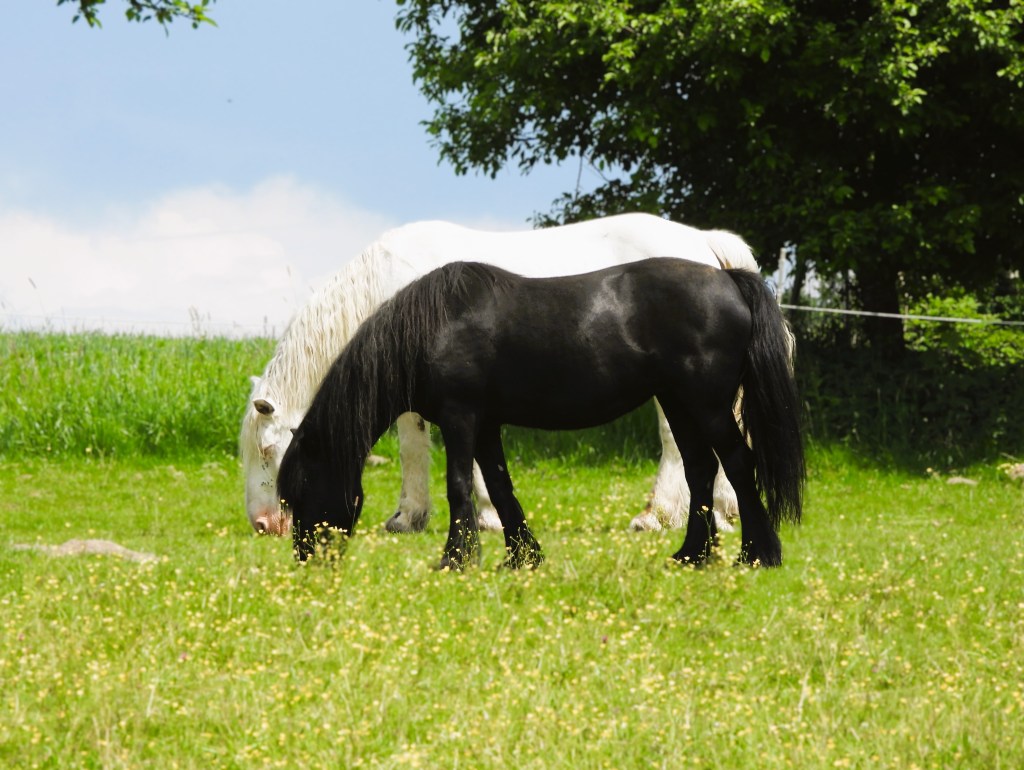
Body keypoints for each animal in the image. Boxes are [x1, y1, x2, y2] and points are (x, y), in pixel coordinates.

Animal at [243, 213, 771, 538]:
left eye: (269, 450)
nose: (263, 524)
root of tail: (703, 243)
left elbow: (414, 445)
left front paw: (411, 516)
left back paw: (656, 516)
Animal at [278, 258, 805, 570]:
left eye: (302, 487)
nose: (306, 557)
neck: (436, 325)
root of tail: (729, 279)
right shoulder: (486, 424)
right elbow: (499, 487)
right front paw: (521, 557)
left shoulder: (460, 417)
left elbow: (460, 485)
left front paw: (456, 559)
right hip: (679, 404)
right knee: (701, 470)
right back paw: (692, 555)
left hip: (707, 405)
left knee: (738, 465)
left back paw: (759, 555)